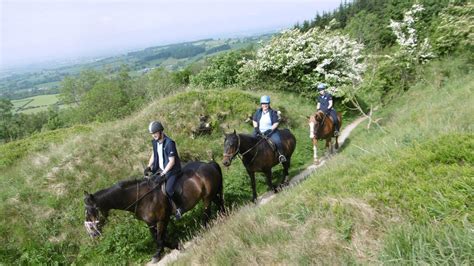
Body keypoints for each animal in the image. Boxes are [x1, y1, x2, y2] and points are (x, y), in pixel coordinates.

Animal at [83, 161, 224, 262]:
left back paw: (205, 227)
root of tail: (209, 164)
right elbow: (157, 238)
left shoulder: (162, 219)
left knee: (206, 213)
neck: (142, 198)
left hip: (206, 198)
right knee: (219, 203)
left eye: (89, 212)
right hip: (211, 195)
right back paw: (223, 215)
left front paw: (159, 254)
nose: (92, 234)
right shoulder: (150, 223)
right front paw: (176, 246)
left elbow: (160, 239)